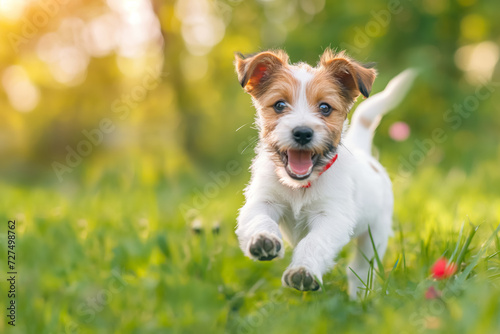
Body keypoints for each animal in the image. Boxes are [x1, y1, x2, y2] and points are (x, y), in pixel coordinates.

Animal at [236, 49, 416, 298]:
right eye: (279, 105)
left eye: (325, 108)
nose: (303, 133)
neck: (300, 186)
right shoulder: (262, 201)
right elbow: (259, 220)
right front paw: (263, 240)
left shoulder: (331, 217)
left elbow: (314, 242)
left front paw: (303, 271)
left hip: (374, 236)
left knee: (362, 268)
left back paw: (360, 297)